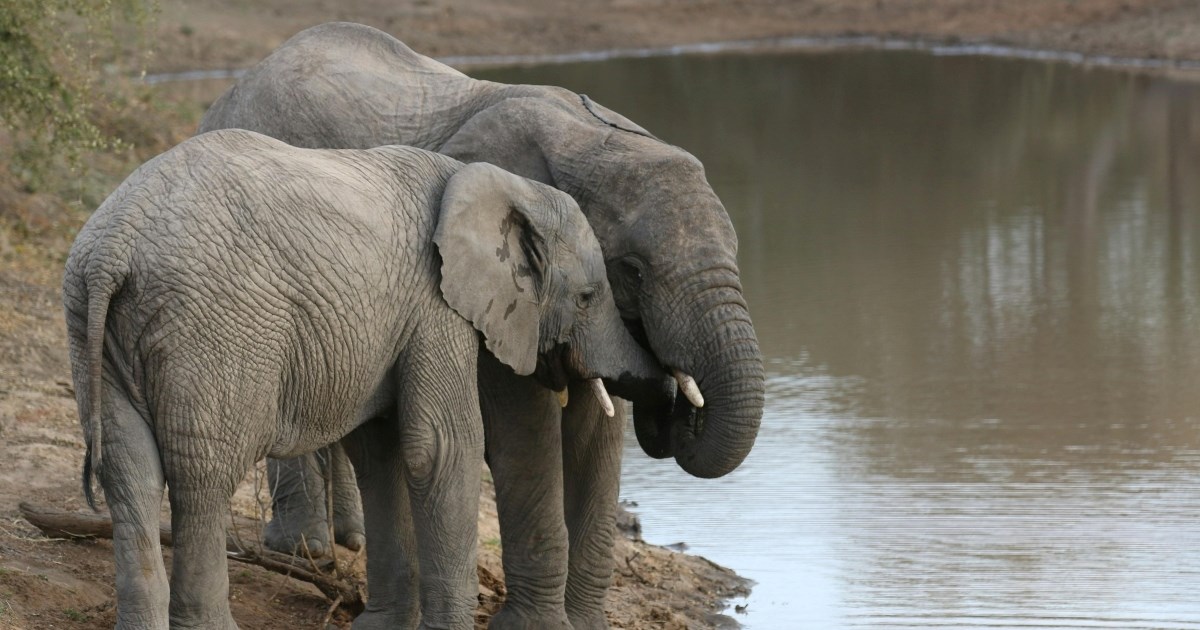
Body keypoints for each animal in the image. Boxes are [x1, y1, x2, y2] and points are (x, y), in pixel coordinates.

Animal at [60, 129, 667, 628]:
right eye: (587, 297)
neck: (498, 184)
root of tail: (112, 248)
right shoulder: (434, 305)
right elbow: (441, 446)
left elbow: (381, 453)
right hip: (214, 329)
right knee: (203, 477)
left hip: (96, 328)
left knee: (129, 472)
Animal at [194, 20, 758, 628]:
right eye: (632, 268)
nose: (675, 403)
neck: (589, 137)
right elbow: (524, 430)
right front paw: (535, 626)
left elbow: (596, 435)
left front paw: (582, 625)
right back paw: (305, 550)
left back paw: (350, 540)